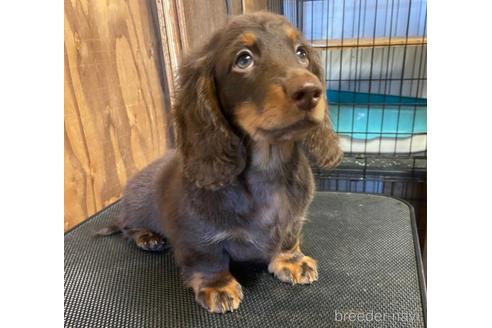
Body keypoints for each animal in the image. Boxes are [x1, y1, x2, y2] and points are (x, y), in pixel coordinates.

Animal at [98, 12, 340, 312]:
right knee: (127, 227)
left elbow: (289, 236)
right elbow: (208, 258)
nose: (310, 91)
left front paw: (291, 259)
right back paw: (148, 237)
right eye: (243, 59)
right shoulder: (196, 232)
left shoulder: (293, 218)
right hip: (137, 207)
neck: (268, 168)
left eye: (301, 53)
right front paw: (218, 285)